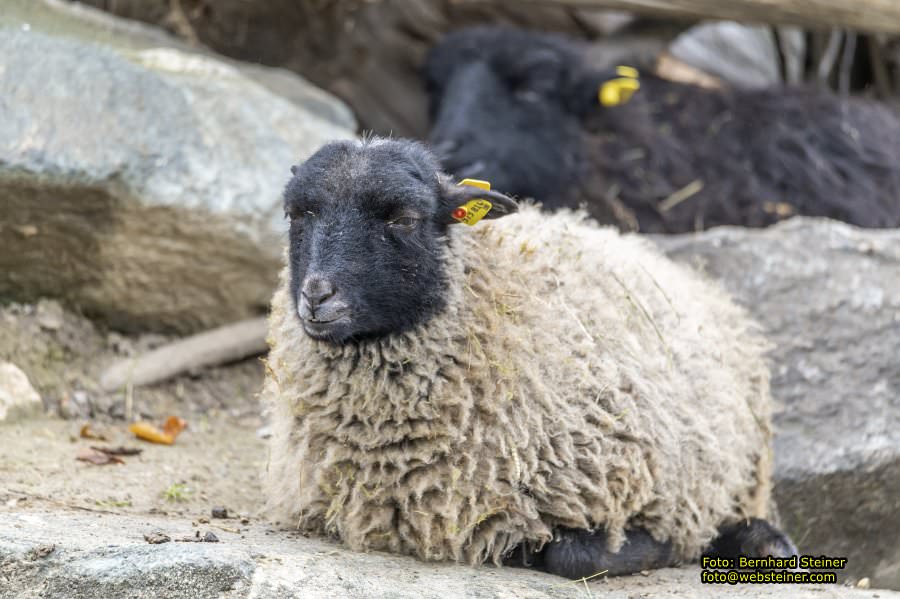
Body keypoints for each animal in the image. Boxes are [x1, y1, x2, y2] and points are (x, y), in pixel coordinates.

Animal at [262, 137, 796, 580]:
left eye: (403, 218)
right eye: (296, 214)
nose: (317, 296)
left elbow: (573, 555)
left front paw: (671, 547)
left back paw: (766, 544)